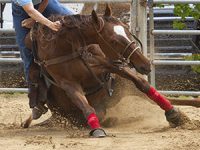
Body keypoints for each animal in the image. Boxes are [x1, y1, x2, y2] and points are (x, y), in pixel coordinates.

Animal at [22, 5, 187, 137]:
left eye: (128, 31)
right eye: (113, 41)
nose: (145, 64)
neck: (71, 47)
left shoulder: (110, 64)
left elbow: (143, 84)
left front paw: (174, 114)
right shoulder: (68, 83)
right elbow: (87, 107)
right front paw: (97, 130)